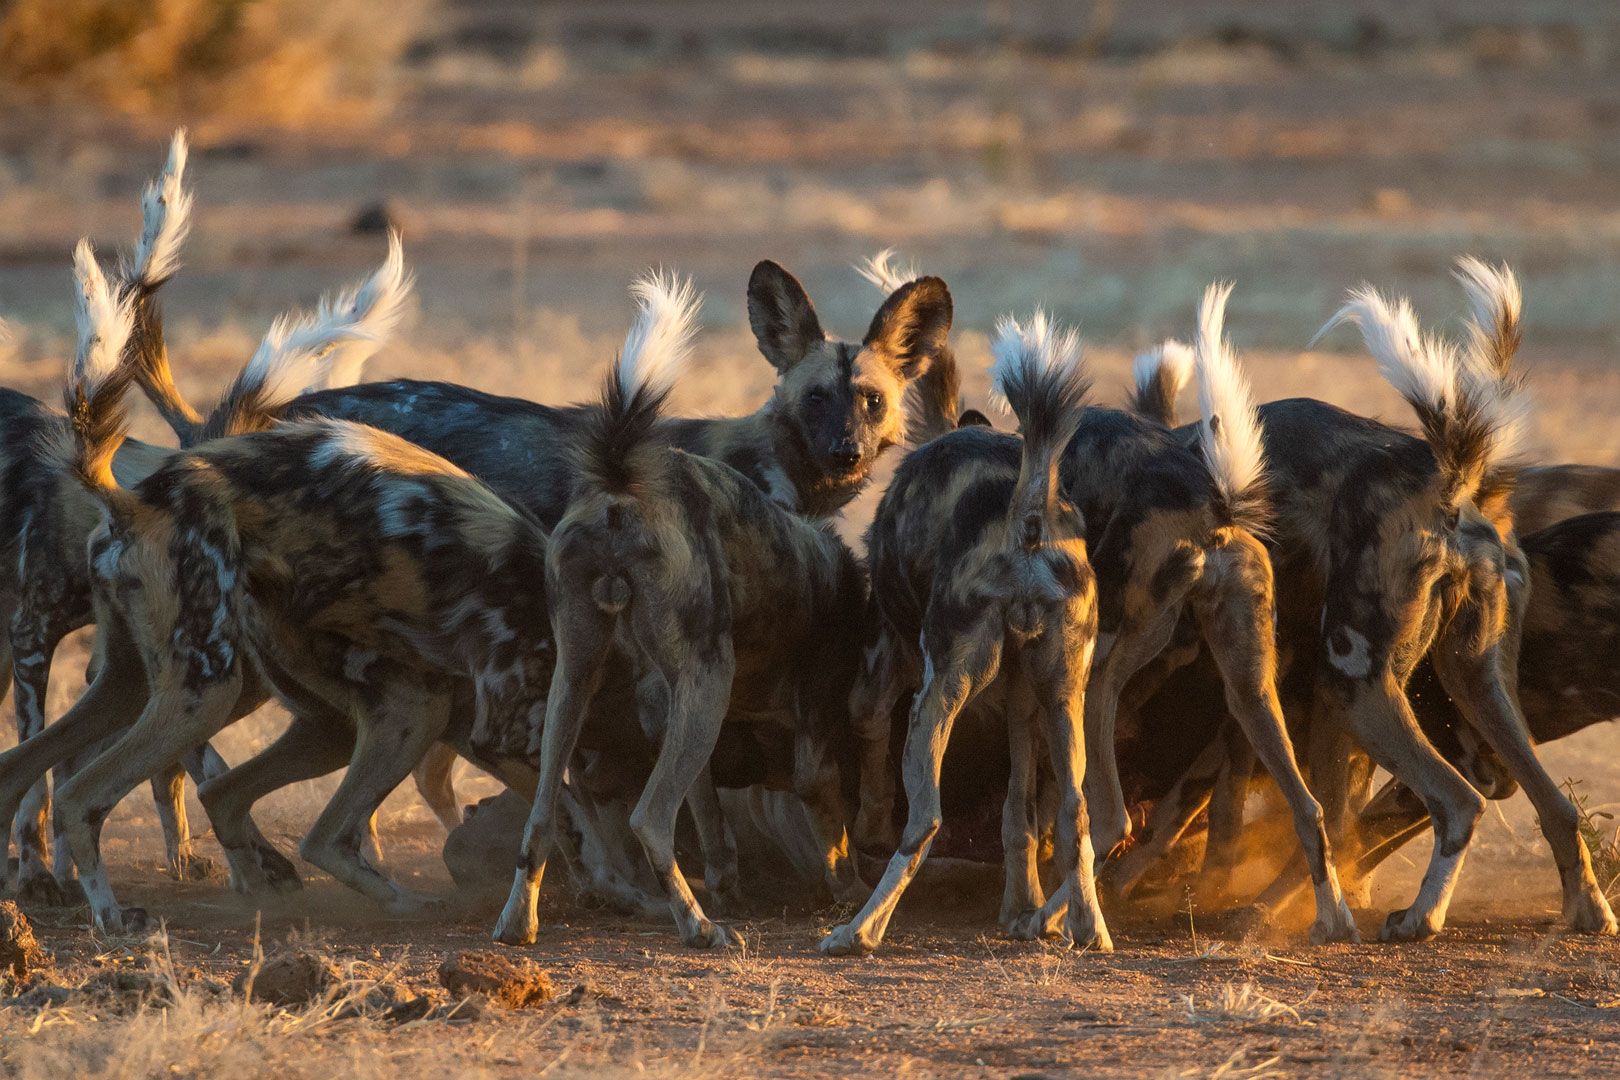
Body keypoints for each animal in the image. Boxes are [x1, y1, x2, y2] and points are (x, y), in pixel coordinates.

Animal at [492, 276, 874, 945]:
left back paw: (518, 923)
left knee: (544, 813)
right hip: (707, 682)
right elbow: (830, 827)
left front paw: (727, 884)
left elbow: (710, 816)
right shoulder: (807, 730)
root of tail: (621, 488)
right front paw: (847, 892)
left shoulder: (673, 706)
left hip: (578, 679)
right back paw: (698, 928)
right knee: (649, 817)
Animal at [822, 310, 1101, 952]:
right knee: (1077, 811)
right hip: (1064, 695)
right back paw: (1090, 929)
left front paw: (868, 824)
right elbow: (1019, 817)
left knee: (923, 822)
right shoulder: (1024, 703)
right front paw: (1021, 908)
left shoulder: (886, 665)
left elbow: (866, 732)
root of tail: (1028, 515)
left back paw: (859, 931)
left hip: (936, 697)